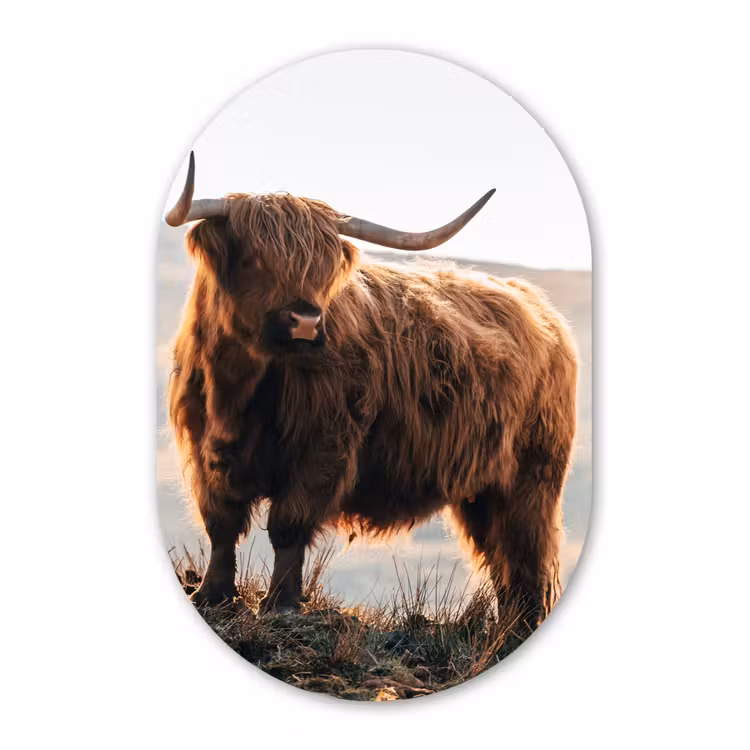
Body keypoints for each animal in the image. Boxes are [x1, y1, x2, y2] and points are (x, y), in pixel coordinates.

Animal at [165, 152, 577, 631]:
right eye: (255, 259)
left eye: (323, 268)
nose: (306, 321)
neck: (238, 389)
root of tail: (535, 304)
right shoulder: (205, 449)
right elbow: (221, 523)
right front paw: (212, 595)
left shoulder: (323, 448)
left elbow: (288, 525)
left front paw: (281, 604)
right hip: (481, 488)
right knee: (499, 554)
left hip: (532, 477)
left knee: (524, 551)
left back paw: (519, 627)